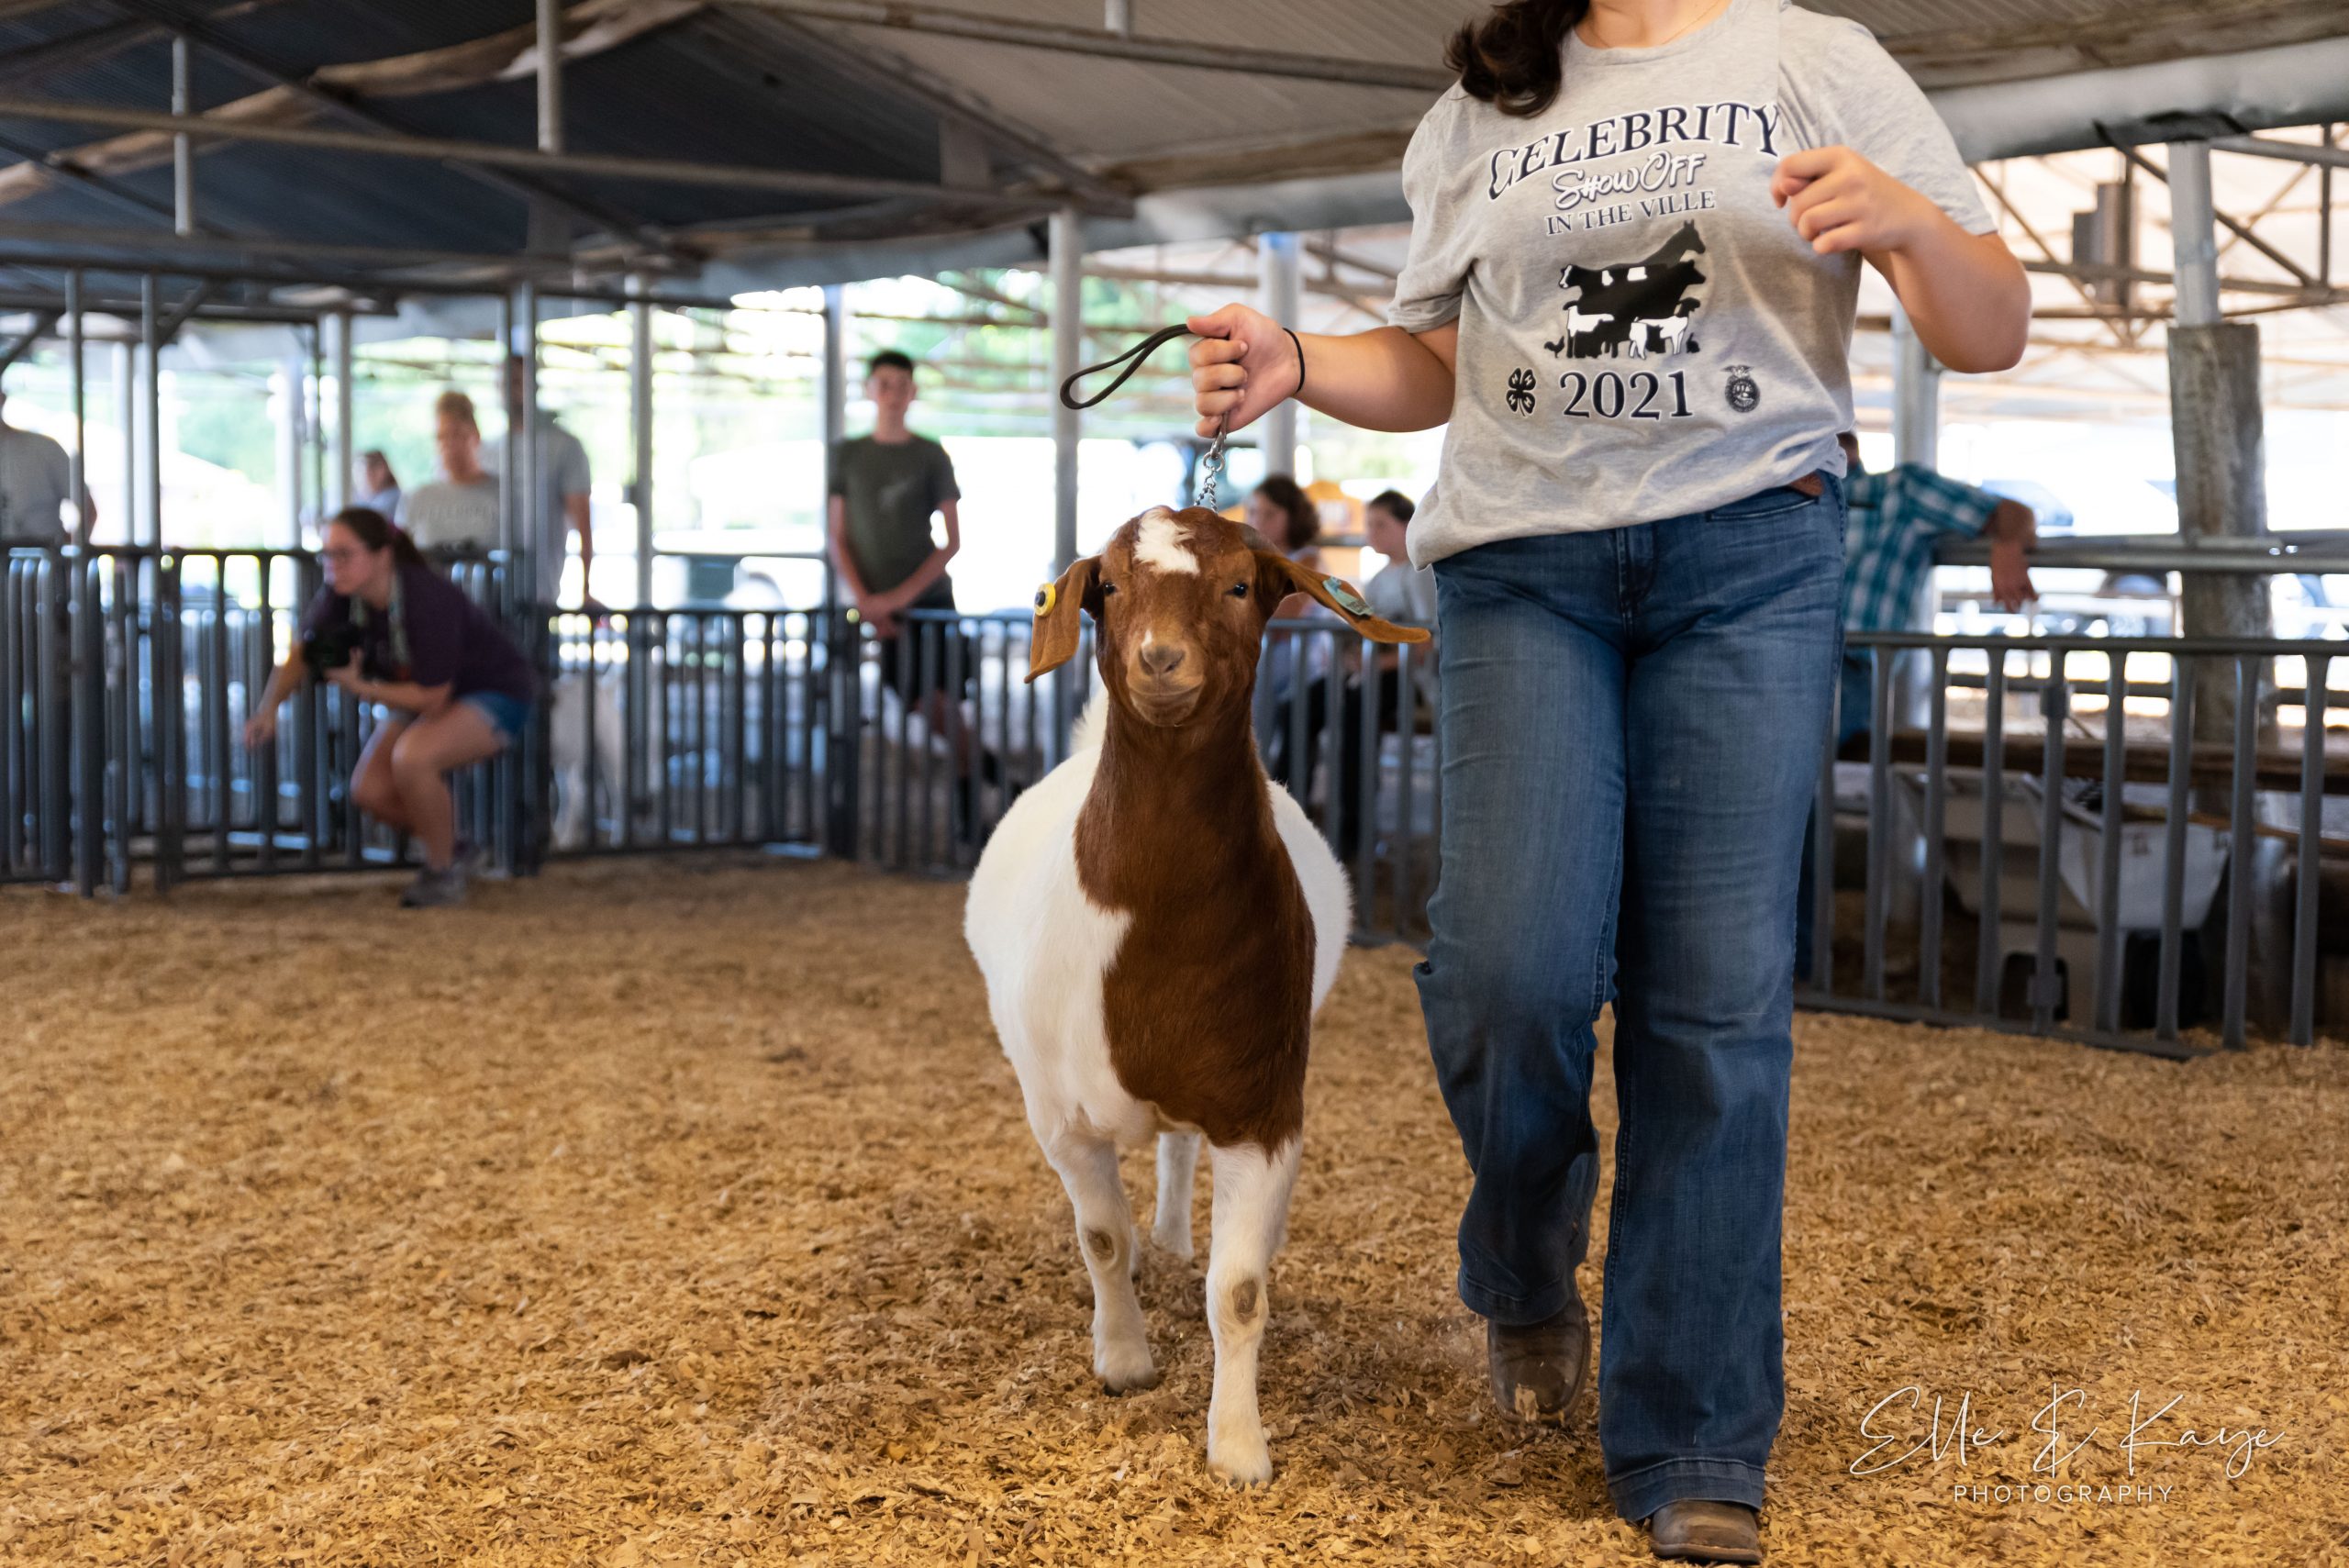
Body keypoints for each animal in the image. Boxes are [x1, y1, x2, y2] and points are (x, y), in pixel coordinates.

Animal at [964, 506, 1428, 1485]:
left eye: (1241, 585)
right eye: (1107, 586)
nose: (1160, 657)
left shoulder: (1265, 1106)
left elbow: (1241, 1288)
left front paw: (1239, 1446)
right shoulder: (1059, 1115)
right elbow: (1103, 1239)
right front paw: (1124, 1360)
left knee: (1178, 1150)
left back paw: (1178, 1239)